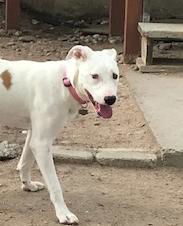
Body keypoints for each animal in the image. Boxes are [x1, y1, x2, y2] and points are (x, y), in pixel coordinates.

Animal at [0, 45, 118, 223]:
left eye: (115, 76)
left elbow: (25, 162)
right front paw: (63, 213)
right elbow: (55, 185)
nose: (110, 99)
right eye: (94, 76)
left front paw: (28, 185)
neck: (64, 83)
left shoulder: (34, 135)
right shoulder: (42, 144)